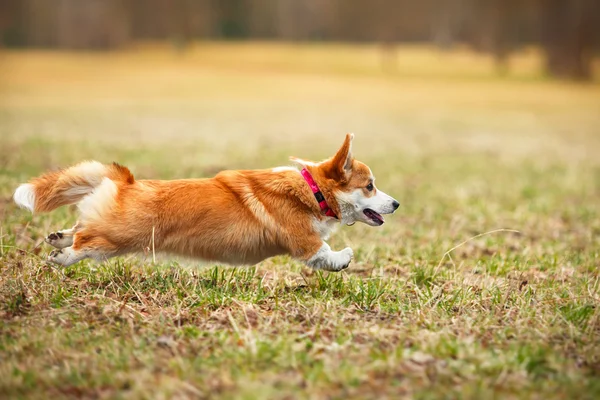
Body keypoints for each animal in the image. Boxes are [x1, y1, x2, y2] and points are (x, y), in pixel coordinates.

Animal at [12, 134, 398, 272]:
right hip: (117, 236)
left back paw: (57, 239)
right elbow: (325, 252)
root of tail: (127, 182)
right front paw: (344, 258)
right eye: (370, 186)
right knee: (86, 241)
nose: (395, 204)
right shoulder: (304, 241)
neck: (313, 189)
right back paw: (63, 256)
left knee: (78, 228)